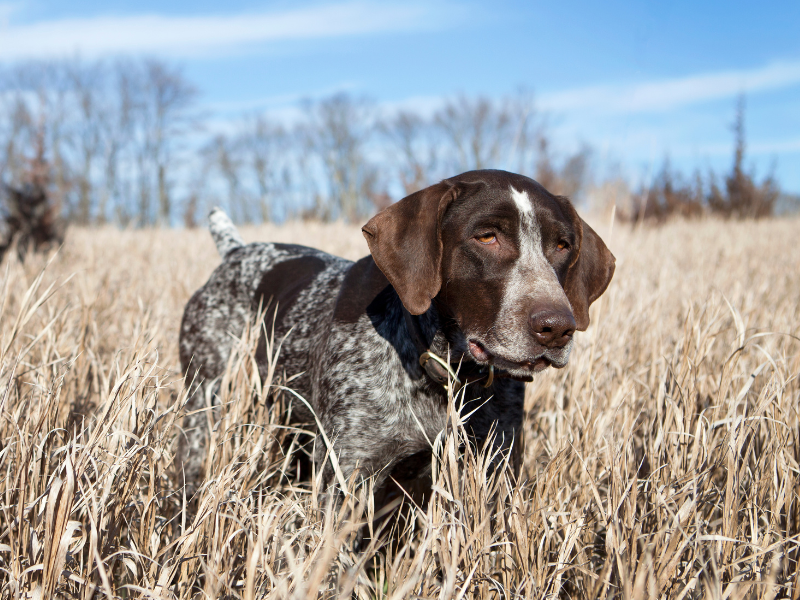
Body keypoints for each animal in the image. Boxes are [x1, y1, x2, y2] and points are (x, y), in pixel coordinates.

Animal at [178, 170, 616, 502]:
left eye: (562, 245)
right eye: (486, 237)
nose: (557, 327)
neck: (442, 371)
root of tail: (235, 252)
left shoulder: (494, 468)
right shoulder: (347, 474)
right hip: (205, 405)